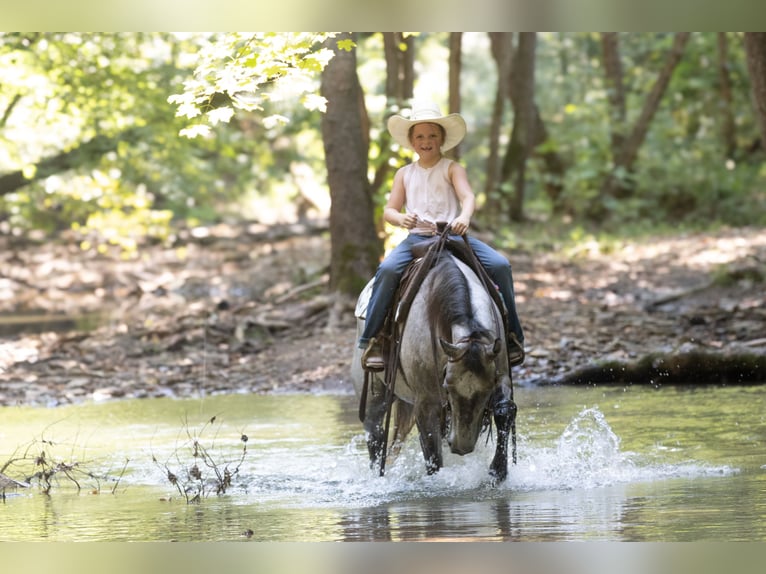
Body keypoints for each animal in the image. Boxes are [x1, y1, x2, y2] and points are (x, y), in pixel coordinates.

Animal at [351, 247, 517, 481]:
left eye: (488, 390)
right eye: (448, 387)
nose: (462, 446)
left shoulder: (501, 375)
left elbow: (505, 411)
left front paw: (497, 472)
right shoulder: (426, 401)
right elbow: (432, 451)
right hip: (374, 394)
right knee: (375, 433)